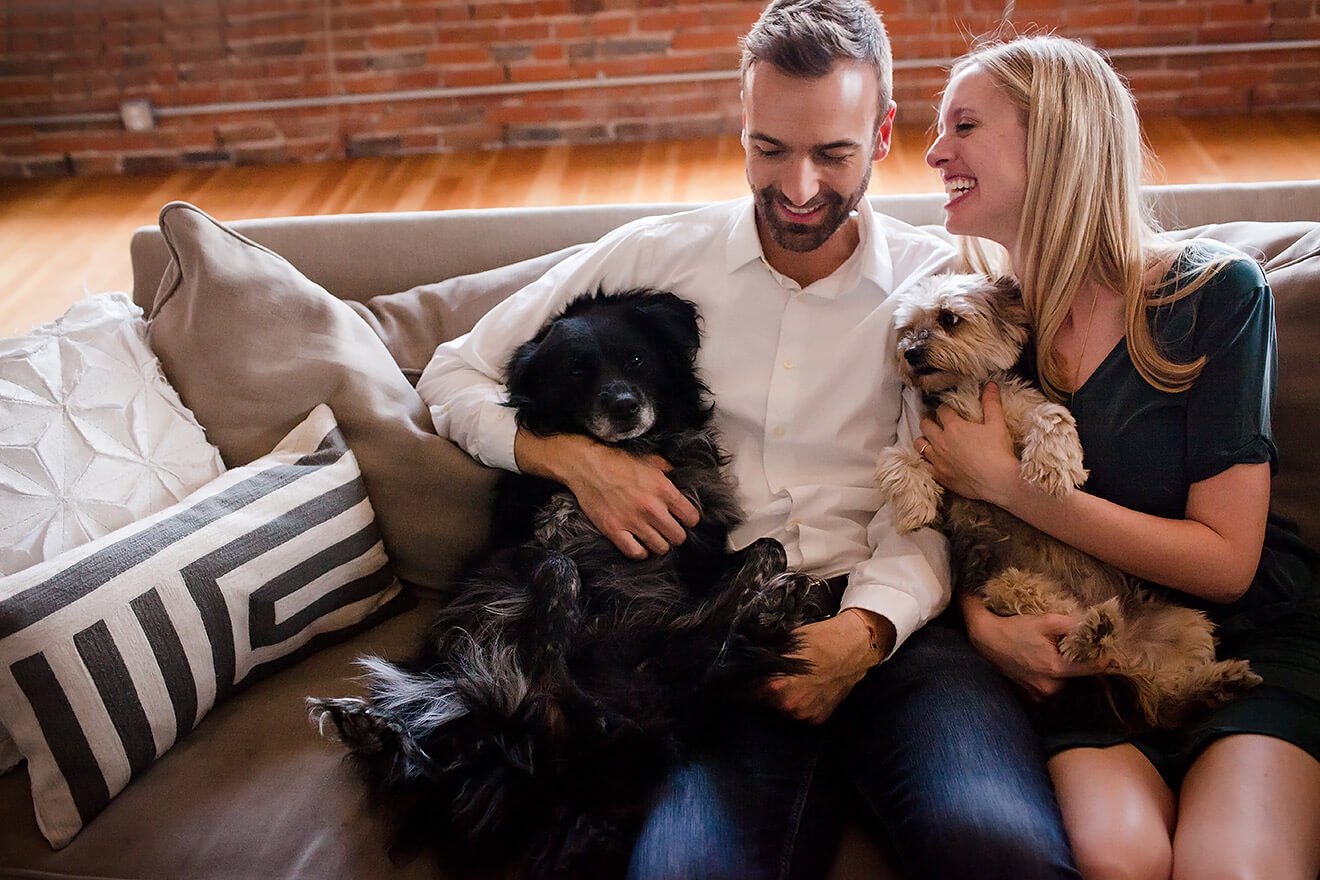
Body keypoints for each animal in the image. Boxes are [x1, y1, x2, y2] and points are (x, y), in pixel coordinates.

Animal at [310, 290, 823, 880]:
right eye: (577, 373)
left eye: (637, 360)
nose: (624, 406)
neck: (636, 450)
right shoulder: (514, 558)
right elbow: (561, 560)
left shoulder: (699, 549)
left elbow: (765, 546)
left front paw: (771, 590)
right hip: (459, 688)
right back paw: (374, 729)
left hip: (657, 688)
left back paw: (776, 605)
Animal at [876, 275, 1256, 728]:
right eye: (906, 330)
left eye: (949, 319)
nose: (911, 353)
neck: (967, 387)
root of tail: (1126, 659)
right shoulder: (942, 472)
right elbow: (896, 458)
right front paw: (915, 506)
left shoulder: (1021, 412)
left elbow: (1051, 416)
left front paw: (1052, 467)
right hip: (1013, 586)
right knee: (1086, 643)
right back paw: (1098, 634)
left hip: (1187, 621)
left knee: (1168, 693)